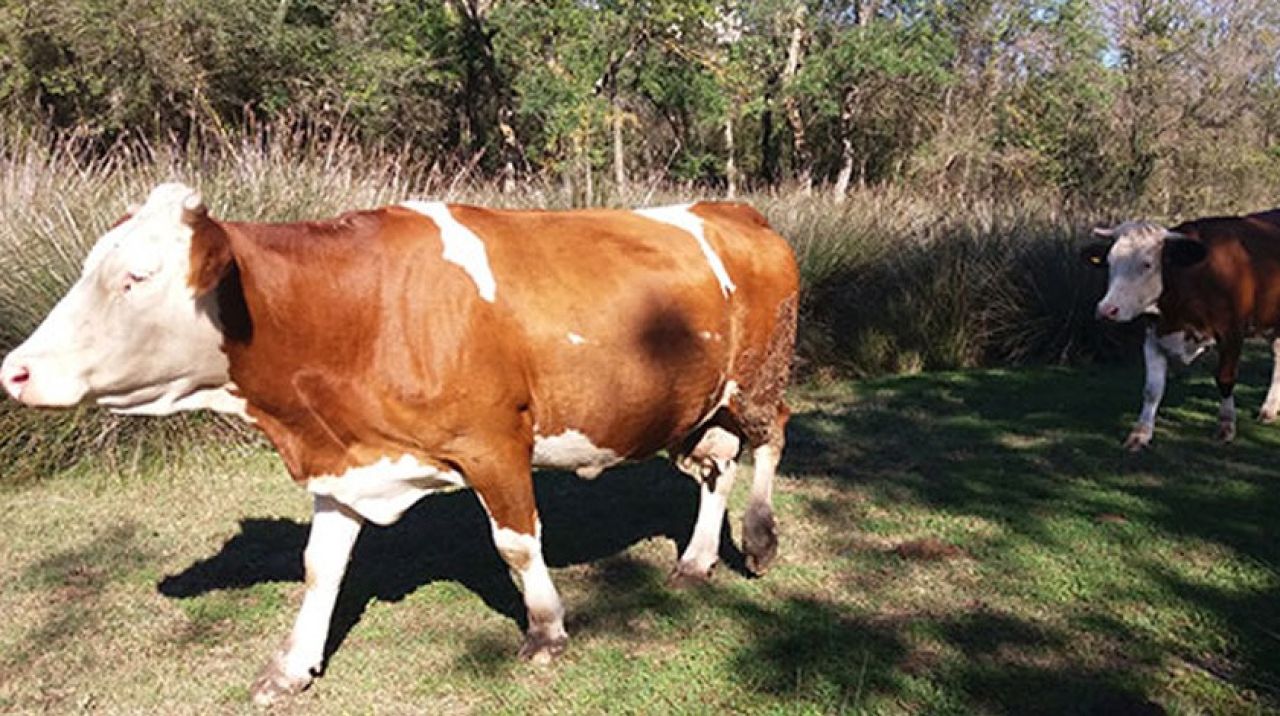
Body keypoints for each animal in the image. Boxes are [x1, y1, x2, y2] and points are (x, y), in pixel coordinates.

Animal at [2, 183, 798, 707]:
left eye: (134, 279)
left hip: (759, 380)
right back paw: (695, 560)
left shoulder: (493, 441)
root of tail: (732, 210)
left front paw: (545, 631)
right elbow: (320, 567)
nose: (15, 369)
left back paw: (757, 540)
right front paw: (292, 665)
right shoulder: (343, 463)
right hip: (698, 405)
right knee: (715, 467)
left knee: (772, 438)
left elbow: (517, 545)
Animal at [1085, 210, 1280, 450]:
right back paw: (1270, 409)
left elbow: (1225, 379)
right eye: (1110, 262)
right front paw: (1140, 434)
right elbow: (1152, 389)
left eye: (1147, 264)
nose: (1106, 309)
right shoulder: (1154, 336)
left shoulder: (1232, 333)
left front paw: (1226, 426)